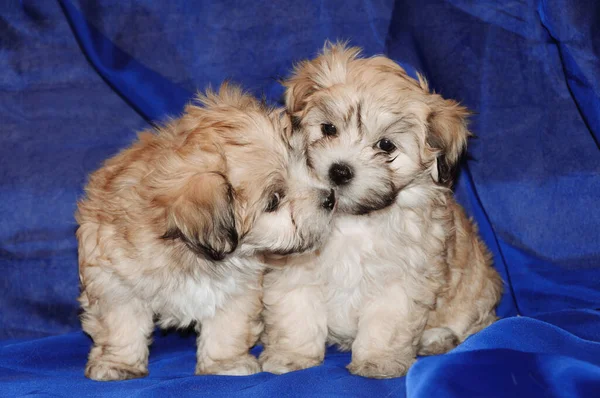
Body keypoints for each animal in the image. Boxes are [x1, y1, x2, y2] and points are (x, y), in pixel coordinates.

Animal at [75, 84, 336, 382]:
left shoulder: (236, 290)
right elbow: (121, 325)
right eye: (274, 200)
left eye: (303, 164)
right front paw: (118, 364)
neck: (190, 252)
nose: (330, 198)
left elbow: (227, 327)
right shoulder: (116, 282)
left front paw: (225, 364)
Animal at [260, 45, 504, 378]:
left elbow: (386, 323)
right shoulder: (295, 270)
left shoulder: (401, 280)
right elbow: (296, 313)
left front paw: (378, 361)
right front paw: (291, 356)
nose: (339, 170)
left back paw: (436, 338)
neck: (351, 219)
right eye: (329, 129)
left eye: (386, 146)